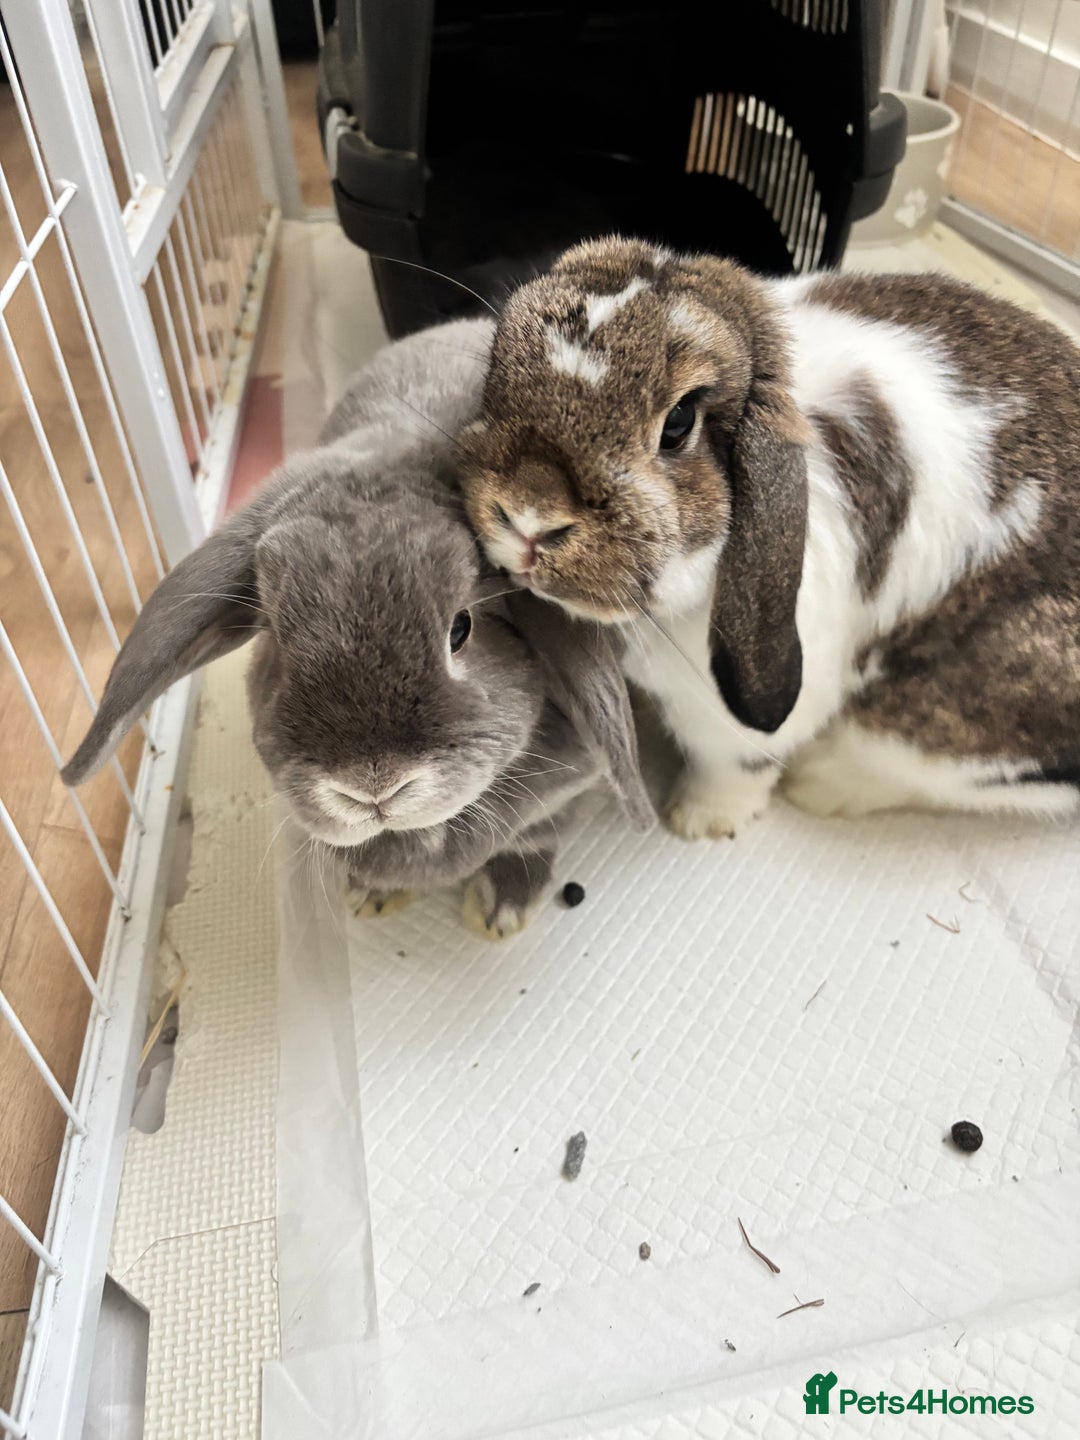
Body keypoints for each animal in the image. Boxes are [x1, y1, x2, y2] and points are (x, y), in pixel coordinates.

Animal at [62, 317, 652, 939]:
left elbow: (536, 834)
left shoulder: (565, 790)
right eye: (278, 640)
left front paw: (500, 910)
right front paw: (372, 895)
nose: (372, 786)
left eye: (461, 628)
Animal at [457, 235, 1080, 836]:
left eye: (678, 423)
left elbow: (737, 763)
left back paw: (820, 786)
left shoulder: (734, 709)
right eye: (497, 364)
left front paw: (700, 821)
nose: (529, 517)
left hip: (950, 713)